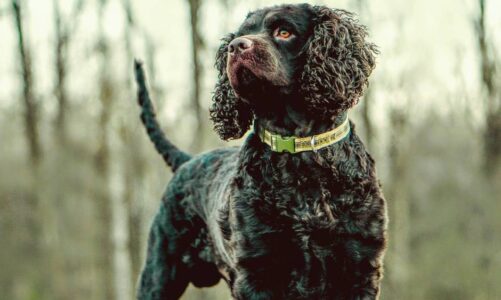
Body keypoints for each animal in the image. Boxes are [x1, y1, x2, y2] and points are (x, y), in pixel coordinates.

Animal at [134, 2, 386, 300]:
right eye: (241, 34)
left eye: (284, 32)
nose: (236, 46)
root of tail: (188, 160)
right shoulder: (258, 269)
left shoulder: (360, 267)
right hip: (159, 272)